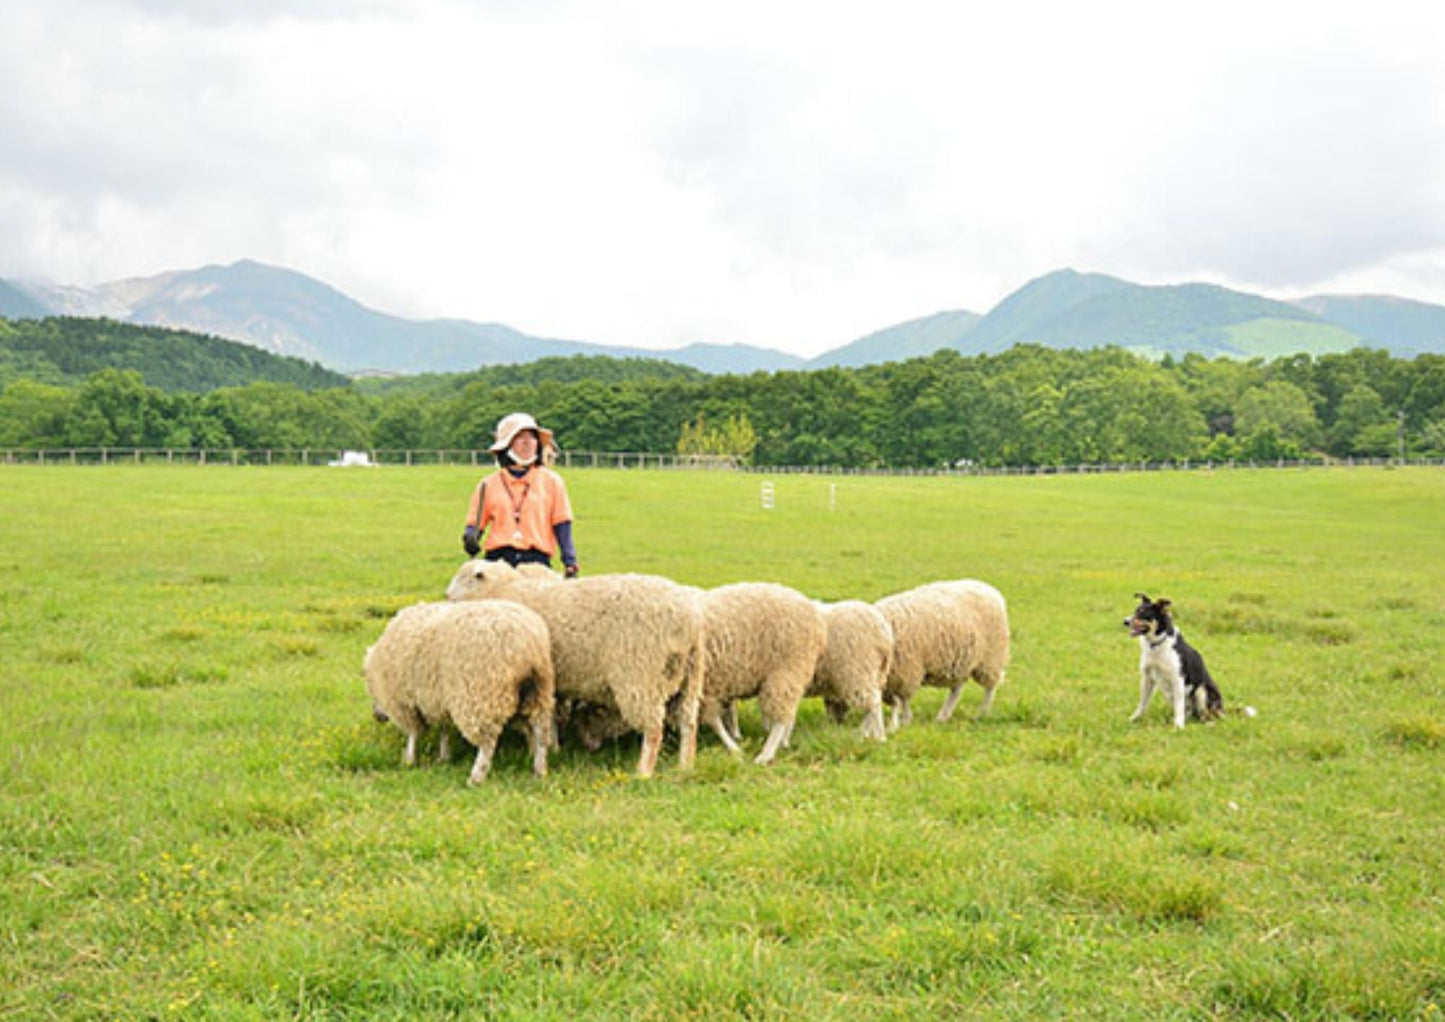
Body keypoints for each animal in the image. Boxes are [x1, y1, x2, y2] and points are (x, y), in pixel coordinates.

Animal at [364, 598, 554, 786]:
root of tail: (527, 641)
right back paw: (539, 769)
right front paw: (444, 757)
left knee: (488, 741)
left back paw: (476, 776)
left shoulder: (403, 701)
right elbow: (445, 729)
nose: (377, 716)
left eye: (370, 689)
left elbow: (413, 732)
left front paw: (409, 760)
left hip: (481, 692)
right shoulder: (440, 697)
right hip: (538, 691)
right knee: (541, 732)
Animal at [445, 560, 705, 774]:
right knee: (689, 723)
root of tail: (688, 622)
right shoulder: (552, 681)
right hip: (690, 677)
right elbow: (550, 716)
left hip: (641, 676)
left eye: (465, 578)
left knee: (653, 729)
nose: (447, 596)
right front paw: (553, 748)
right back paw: (686, 765)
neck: (503, 590)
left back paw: (643, 772)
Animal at [809, 598, 895, 745]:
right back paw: (866, 734)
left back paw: (879, 738)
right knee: (871, 703)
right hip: (874, 674)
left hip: (857, 671)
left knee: (874, 703)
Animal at [872, 581, 1011, 731]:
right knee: (957, 690)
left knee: (990, 687)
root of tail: (988, 588)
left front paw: (904, 720)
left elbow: (903, 699)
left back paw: (982, 713)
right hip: (961, 660)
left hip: (991, 656)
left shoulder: (905, 672)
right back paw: (943, 715)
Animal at [1121, 592, 1225, 728]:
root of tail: (1223, 710)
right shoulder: (1147, 678)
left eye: (1144, 614)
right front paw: (1135, 718)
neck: (1156, 644)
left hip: (1202, 690)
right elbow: (1142, 702)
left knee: (1206, 715)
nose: (1125, 621)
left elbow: (1179, 706)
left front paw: (1179, 726)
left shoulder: (1178, 679)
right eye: (1135, 611)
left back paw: (1208, 723)